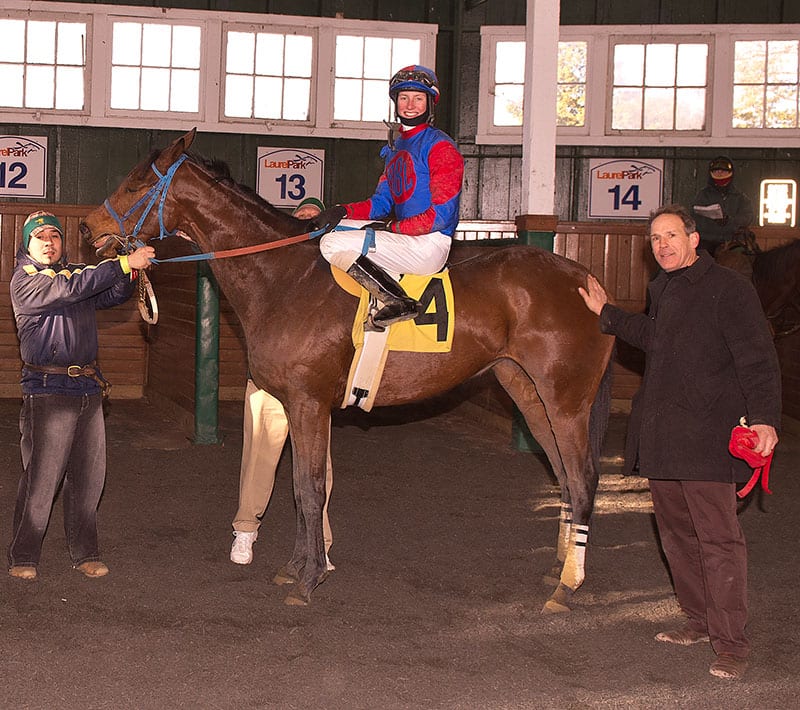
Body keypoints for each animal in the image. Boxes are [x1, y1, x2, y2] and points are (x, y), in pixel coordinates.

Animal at [79, 128, 612, 612]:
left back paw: (568, 587)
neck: (284, 277)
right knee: (564, 477)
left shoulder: (309, 403)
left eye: (135, 183)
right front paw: (295, 566)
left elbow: (311, 489)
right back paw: (558, 570)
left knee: (584, 477)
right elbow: (298, 488)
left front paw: (309, 579)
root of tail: (586, 280)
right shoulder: (293, 405)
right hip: (527, 391)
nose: (87, 226)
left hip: (566, 400)